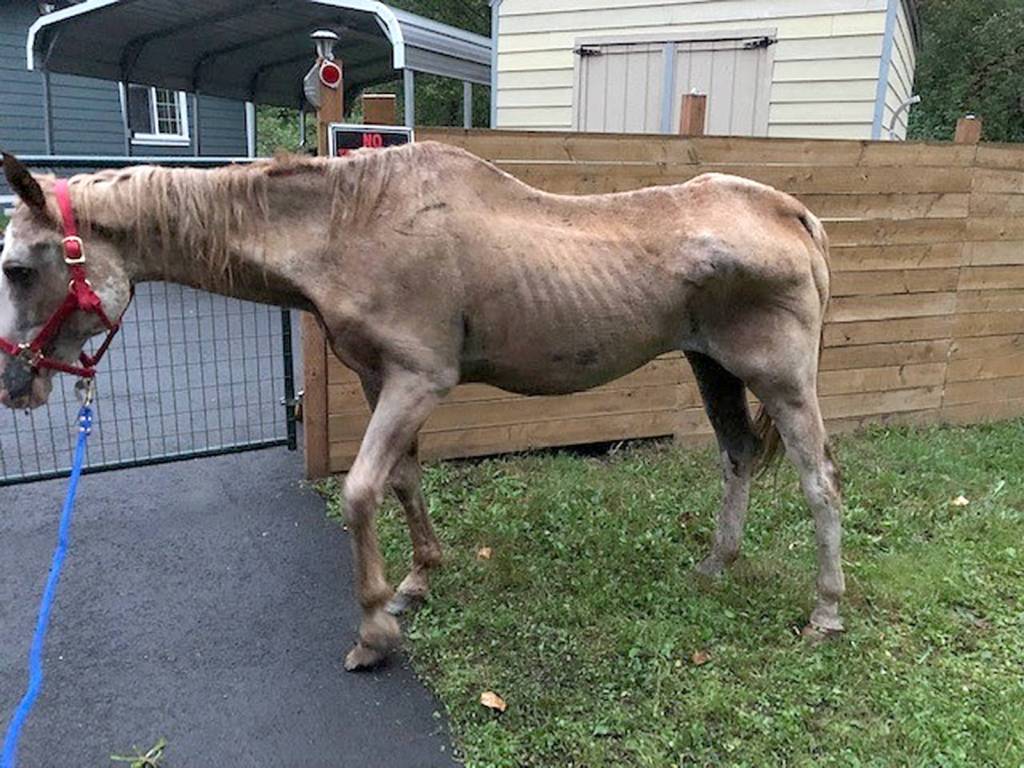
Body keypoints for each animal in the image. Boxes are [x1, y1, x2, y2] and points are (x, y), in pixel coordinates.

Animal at [0, 143, 843, 671]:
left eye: (16, 268)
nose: (15, 382)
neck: (349, 225)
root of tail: (791, 213)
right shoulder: (382, 382)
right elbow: (403, 480)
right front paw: (418, 579)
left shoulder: (418, 381)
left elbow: (360, 491)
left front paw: (374, 629)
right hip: (713, 369)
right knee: (739, 457)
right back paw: (715, 565)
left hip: (782, 382)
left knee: (821, 485)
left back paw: (826, 614)